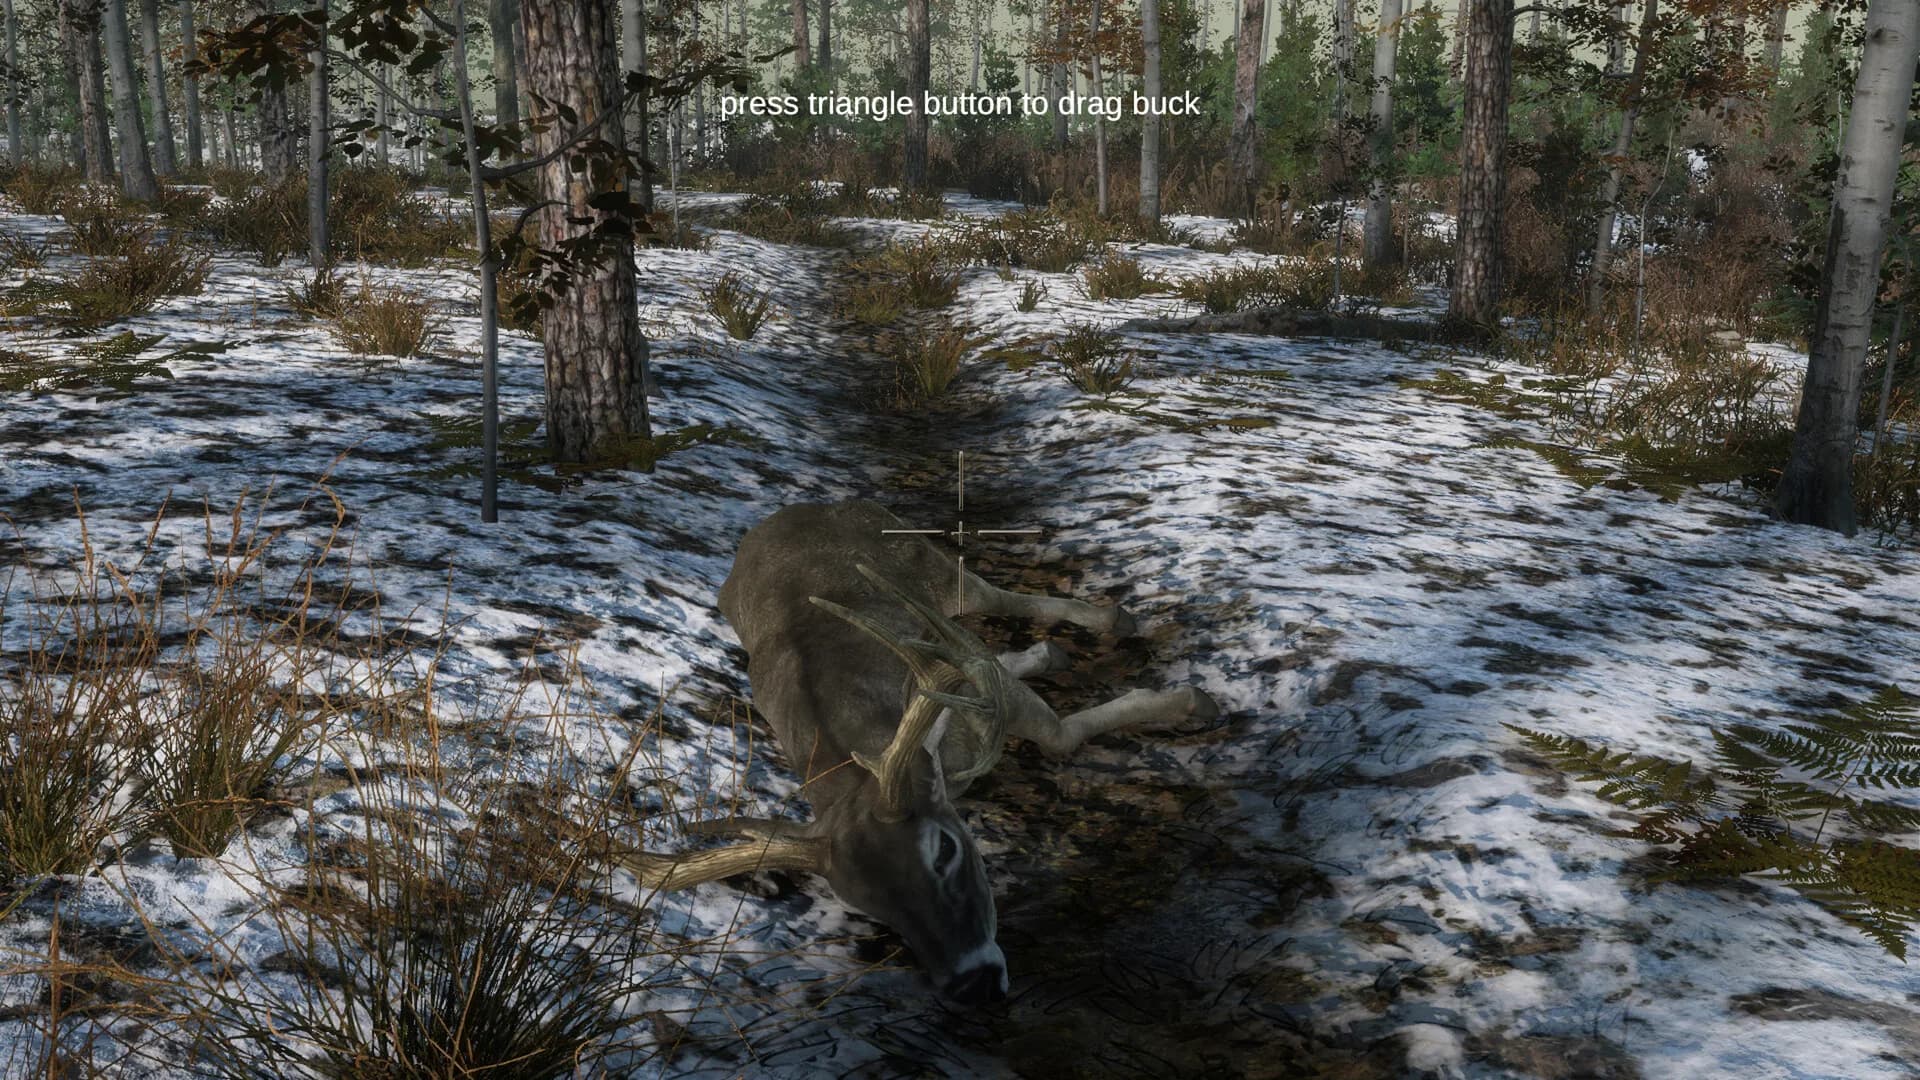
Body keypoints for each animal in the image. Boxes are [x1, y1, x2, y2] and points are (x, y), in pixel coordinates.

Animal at [618, 499, 1218, 1005]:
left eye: (945, 850)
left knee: (992, 598)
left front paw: (1191, 700)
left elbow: (1057, 734)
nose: (973, 985)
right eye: (871, 908)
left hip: (927, 564)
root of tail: (792, 510)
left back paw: (1111, 622)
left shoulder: (983, 696)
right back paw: (1048, 652)